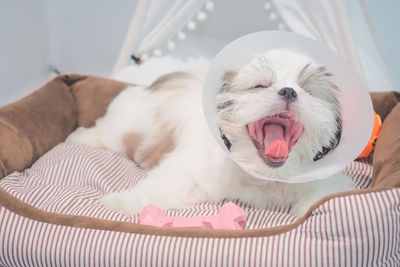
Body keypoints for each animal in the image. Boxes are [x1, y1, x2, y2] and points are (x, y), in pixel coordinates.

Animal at [71, 49, 354, 218]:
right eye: (260, 86)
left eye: (308, 91)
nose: (289, 91)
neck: (260, 172)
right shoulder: (192, 170)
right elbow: (159, 188)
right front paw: (119, 203)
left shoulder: (320, 178)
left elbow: (329, 192)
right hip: (128, 123)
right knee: (106, 132)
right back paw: (83, 138)